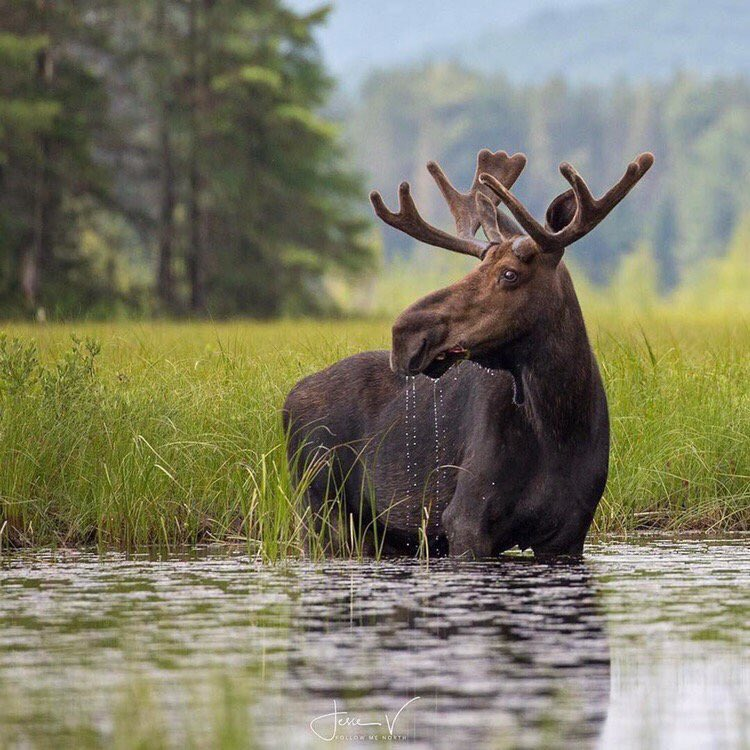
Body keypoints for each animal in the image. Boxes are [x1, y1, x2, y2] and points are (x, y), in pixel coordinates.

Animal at [284, 147, 656, 560]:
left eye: (509, 274)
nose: (404, 332)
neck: (561, 425)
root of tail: (288, 400)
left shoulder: (571, 531)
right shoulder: (464, 519)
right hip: (317, 505)